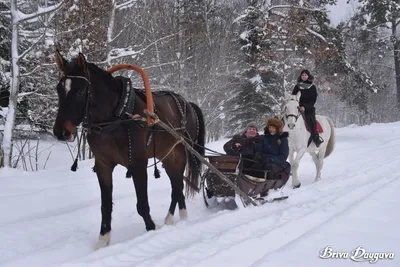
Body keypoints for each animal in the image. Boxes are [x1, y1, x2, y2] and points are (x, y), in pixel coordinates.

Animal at [51, 51, 205, 250]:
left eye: (80, 91)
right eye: (59, 89)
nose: (60, 132)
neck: (116, 116)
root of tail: (189, 104)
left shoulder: (138, 163)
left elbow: (142, 204)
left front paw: (152, 228)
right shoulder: (103, 164)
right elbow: (106, 205)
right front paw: (103, 239)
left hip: (180, 153)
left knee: (177, 186)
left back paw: (179, 218)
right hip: (167, 155)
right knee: (176, 185)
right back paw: (174, 218)